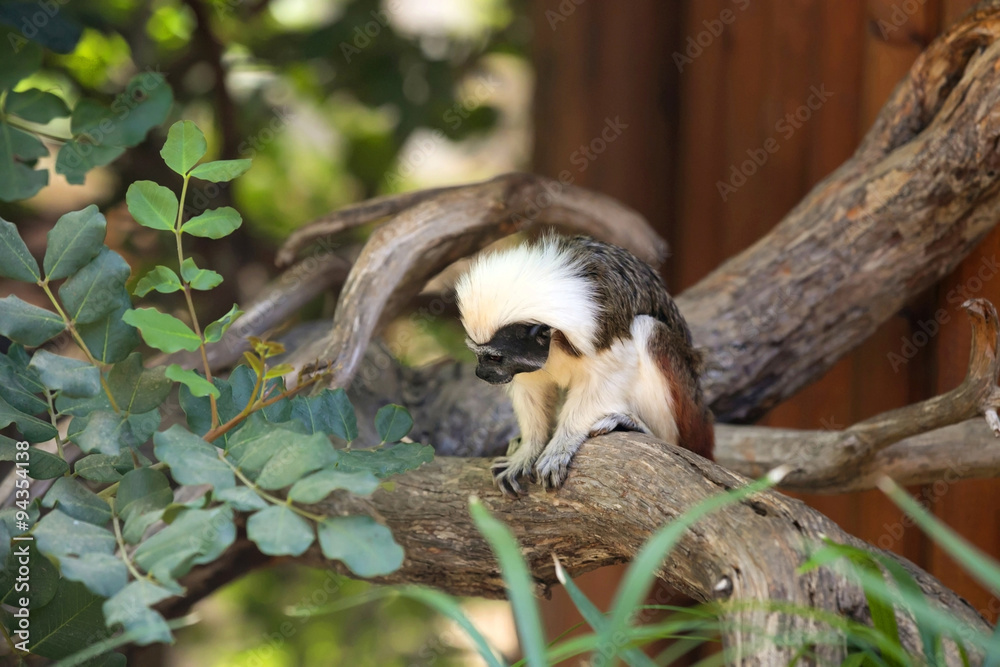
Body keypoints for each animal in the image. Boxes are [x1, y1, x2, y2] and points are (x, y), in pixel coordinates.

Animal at [455, 234, 714, 496]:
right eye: (477, 355)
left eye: (494, 358)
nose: (481, 373)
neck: (555, 340)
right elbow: (533, 388)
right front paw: (527, 450)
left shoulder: (602, 329)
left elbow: (610, 375)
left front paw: (561, 444)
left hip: (689, 414)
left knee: (647, 328)